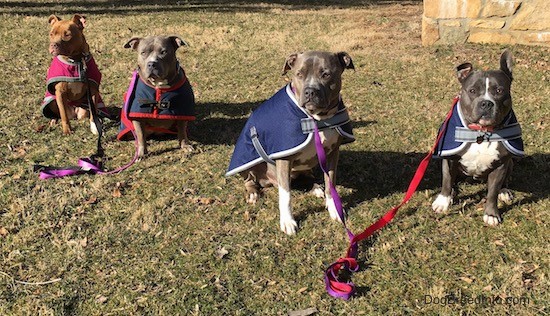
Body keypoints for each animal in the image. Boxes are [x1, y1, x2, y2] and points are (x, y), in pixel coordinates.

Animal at [226, 51, 356, 235]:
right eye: (299, 74)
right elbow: (286, 195)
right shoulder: (284, 159)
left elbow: (330, 184)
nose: (310, 92)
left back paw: (315, 187)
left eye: (326, 74)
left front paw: (334, 209)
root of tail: (268, 182)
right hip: (248, 164)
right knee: (250, 180)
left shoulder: (332, 153)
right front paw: (288, 221)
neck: (317, 119)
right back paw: (253, 193)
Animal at [436, 50, 528, 225]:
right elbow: (446, 179)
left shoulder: (500, 165)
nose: (486, 103)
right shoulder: (448, 157)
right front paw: (443, 201)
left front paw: (491, 214)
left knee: (504, 182)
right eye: (472, 91)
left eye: (499, 91)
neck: (481, 132)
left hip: (510, 163)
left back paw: (504, 192)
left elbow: (492, 192)